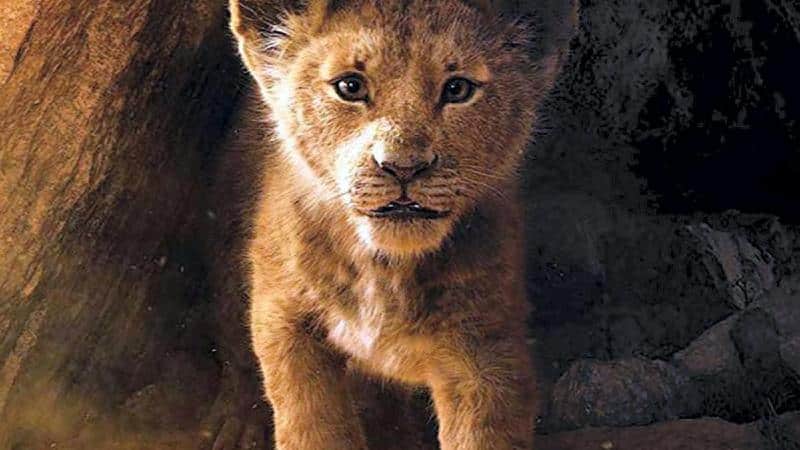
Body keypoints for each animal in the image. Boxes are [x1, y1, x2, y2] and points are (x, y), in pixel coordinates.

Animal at [226, 1, 576, 448]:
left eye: (457, 89)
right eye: (350, 87)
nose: (403, 166)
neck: (385, 268)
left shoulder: (487, 347)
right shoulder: (285, 320)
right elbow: (312, 423)